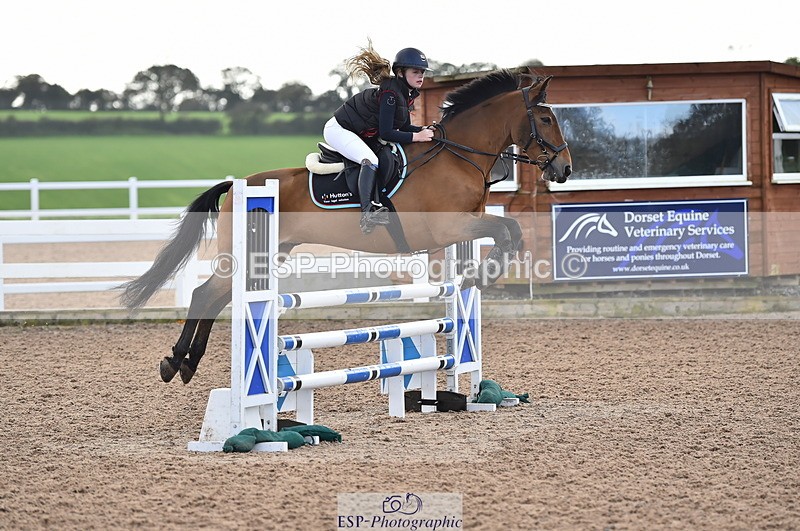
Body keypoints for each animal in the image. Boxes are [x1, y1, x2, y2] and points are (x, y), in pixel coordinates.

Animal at [120, 70, 572, 385]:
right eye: (546, 118)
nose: (565, 169)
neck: (457, 156)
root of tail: (238, 184)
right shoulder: (449, 229)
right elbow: (506, 230)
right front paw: (484, 273)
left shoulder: (468, 222)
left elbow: (510, 230)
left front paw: (481, 275)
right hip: (244, 254)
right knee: (204, 294)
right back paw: (174, 362)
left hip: (268, 255)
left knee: (216, 299)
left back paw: (186, 364)